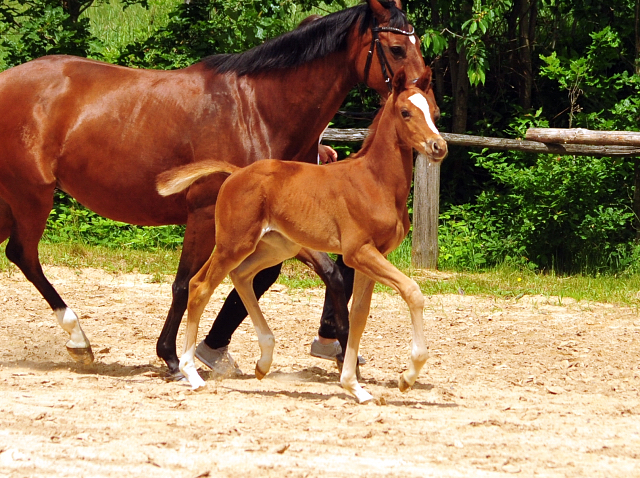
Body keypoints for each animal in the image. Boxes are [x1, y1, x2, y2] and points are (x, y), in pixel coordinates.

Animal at [158, 67, 448, 402]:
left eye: (435, 112)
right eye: (405, 112)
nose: (438, 147)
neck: (375, 181)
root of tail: (236, 173)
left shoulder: (373, 256)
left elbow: (359, 316)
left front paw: (355, 387)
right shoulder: (358, 252)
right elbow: (412, 291)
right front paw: (407, 377)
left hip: (275, 247)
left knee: (241, 276)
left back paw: (263, 362)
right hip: (233, 243)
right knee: (199, 286)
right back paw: (191, 373)